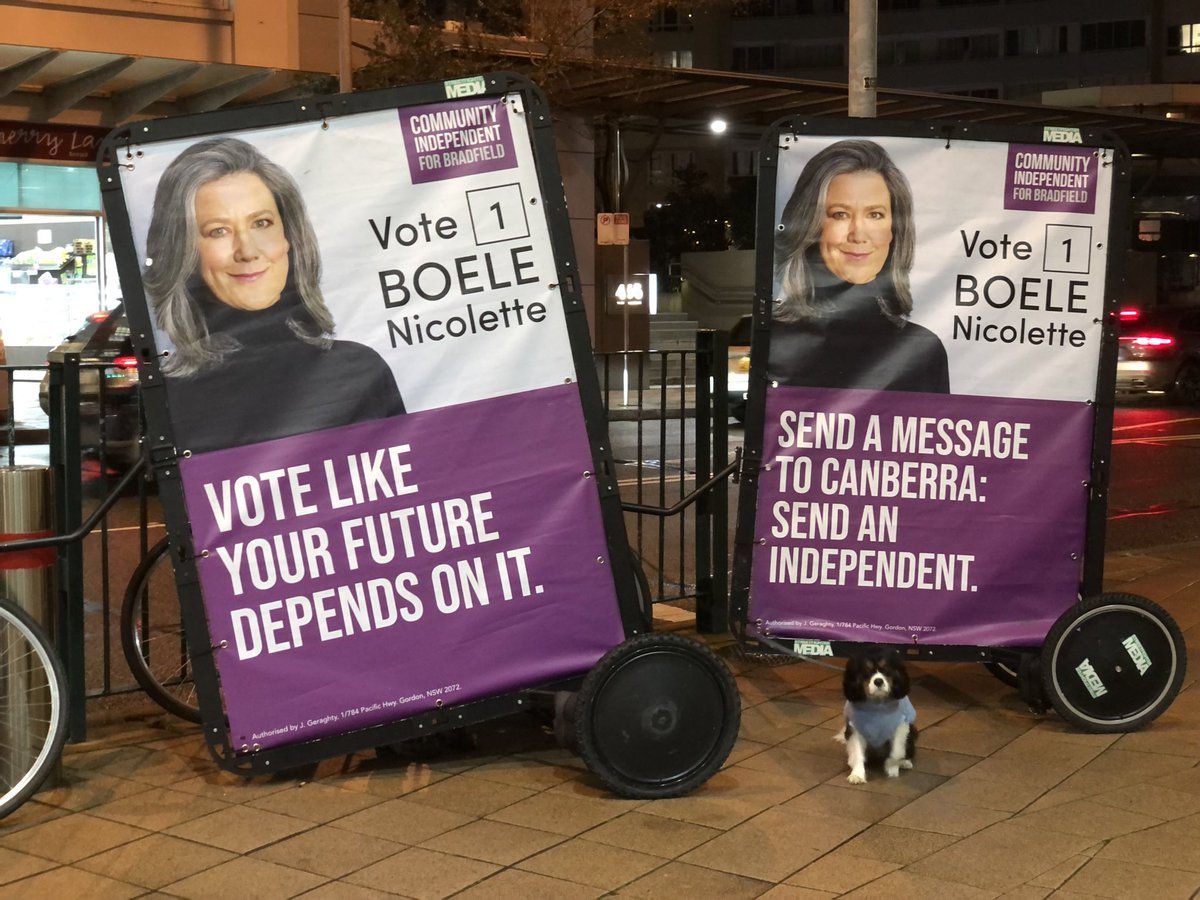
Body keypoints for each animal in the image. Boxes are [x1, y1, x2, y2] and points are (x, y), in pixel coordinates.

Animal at [840, 648, 912, 782]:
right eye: (866, 671)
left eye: (886, 669)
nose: (878, 681)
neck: (877, 703)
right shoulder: (855, 729)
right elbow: (857, 753)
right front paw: (857, 775)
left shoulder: (901, 726)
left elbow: (897, 751)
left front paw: (891, 768)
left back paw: (904, 762)